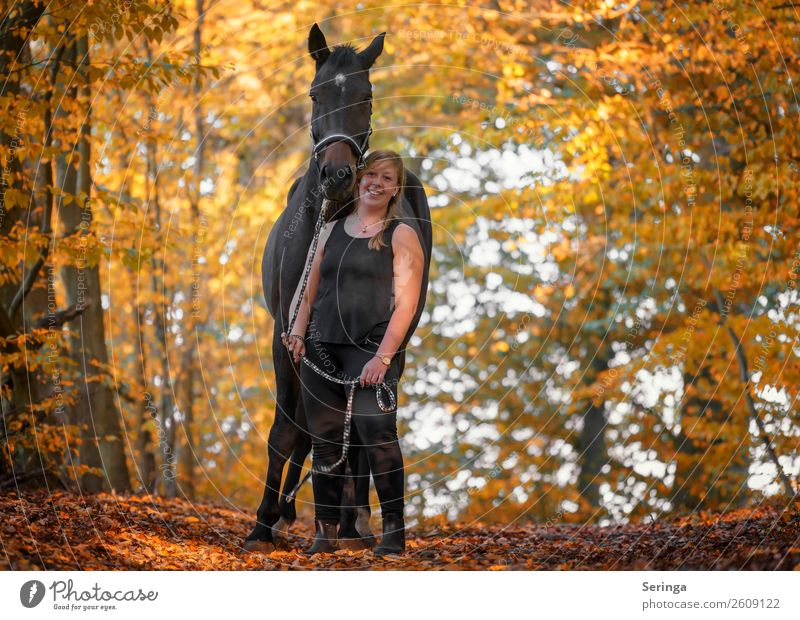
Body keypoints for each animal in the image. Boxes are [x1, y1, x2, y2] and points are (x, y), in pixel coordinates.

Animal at [244, 23, 432, 552]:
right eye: (316, 92)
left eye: (366, 95)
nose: (338, 175)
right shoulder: (285, 335)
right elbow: (287, 431)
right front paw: (264, 524)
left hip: (395, 345)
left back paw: (355, 521)